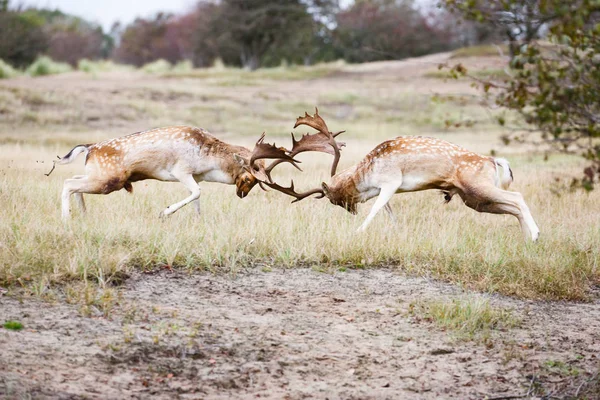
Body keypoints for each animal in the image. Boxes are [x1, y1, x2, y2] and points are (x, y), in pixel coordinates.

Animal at [48, 126, 296, 220]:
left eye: (254, 182)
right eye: (248, 177)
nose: (241, 194)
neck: (208, 158)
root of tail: (89, 148)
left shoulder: (194, 176)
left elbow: (197, 196)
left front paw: (198, 220)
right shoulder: (181, 170)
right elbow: (197, 192)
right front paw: (164, 212)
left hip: (99, 176)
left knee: (74, 181)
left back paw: (84, 215)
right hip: (109, 179)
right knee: (68, 183)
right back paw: (66, 219)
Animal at [260, 108, 540, 242]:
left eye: (333, 200)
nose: (351, 212)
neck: (367, 174)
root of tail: (493, 160)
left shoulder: (391, 182)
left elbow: (377, 209)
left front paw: (358, 232)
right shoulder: (385, 190)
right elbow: (389, 211)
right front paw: (396, 230)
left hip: (478, 187)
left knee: (517, 197)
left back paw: (535, 235)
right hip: (475, 199)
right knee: (513, 207)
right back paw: (528, 240)